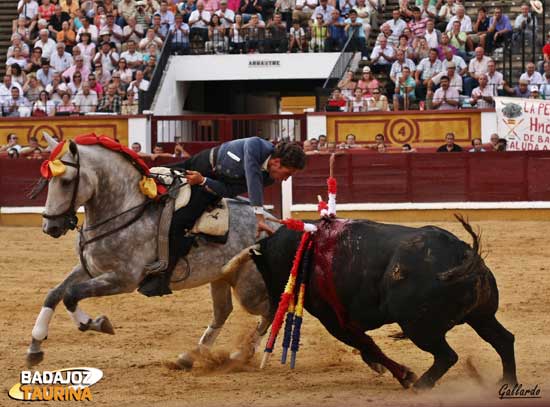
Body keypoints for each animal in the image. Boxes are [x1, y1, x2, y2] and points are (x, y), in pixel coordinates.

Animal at [26, 137, 276, 370]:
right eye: (47, 180)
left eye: (67, 181)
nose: (50, 227)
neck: (125, 209)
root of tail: (275, 224)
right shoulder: (89, 269)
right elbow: (55, 293)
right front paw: (35, 347)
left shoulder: (124, 279)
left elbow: (71, 294)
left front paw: (94, 323)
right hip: (221, 277)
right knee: (223, 312)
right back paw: (190, 357)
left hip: (249, 288)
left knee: (269, 309)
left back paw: (241, 354)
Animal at [252, 217, 520, 388]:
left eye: (263, 270)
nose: (271, 304)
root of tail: (462, 254)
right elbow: (366, 345)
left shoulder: (334, 319)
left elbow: (367, 344)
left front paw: (404, 375)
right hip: (482, 316)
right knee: (503, 339)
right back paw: (507, 382)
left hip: (419, 327)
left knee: (447, 356)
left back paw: (420, 385)